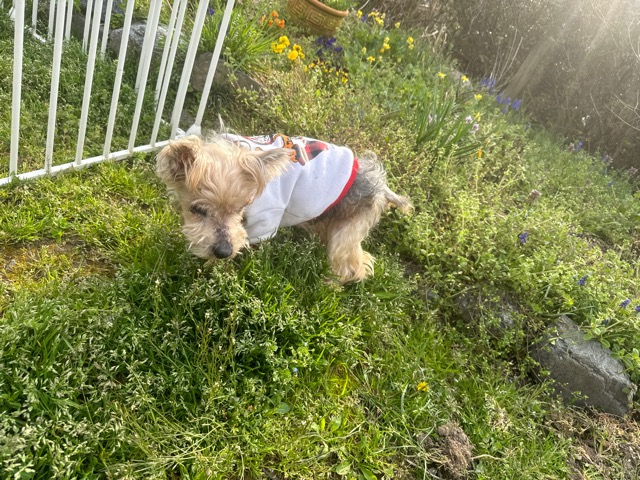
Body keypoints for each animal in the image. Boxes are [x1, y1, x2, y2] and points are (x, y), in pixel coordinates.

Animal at [156, 133, 411, 284]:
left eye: (242, 207)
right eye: (197, 209)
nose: (223, 251)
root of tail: (380, 183)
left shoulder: (265, 219)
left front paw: (214, 267)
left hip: (349, 227)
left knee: (352, 263)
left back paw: (331, 286)